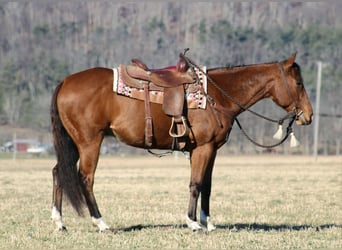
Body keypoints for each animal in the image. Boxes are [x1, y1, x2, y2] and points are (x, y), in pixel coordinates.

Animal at [50, 52, 312, 232]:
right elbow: (195, 184)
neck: (216, 96)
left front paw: (208, 222)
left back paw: (59, 222)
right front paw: (193, 223)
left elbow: (207, 185)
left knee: (58, 172)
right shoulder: (203, 148)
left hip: (72, 143)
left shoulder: (210, 150)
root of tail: (65, 82)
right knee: (85, 178)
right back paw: (101, 223)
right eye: (299, 83)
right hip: (89, 142)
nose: (308, 116)